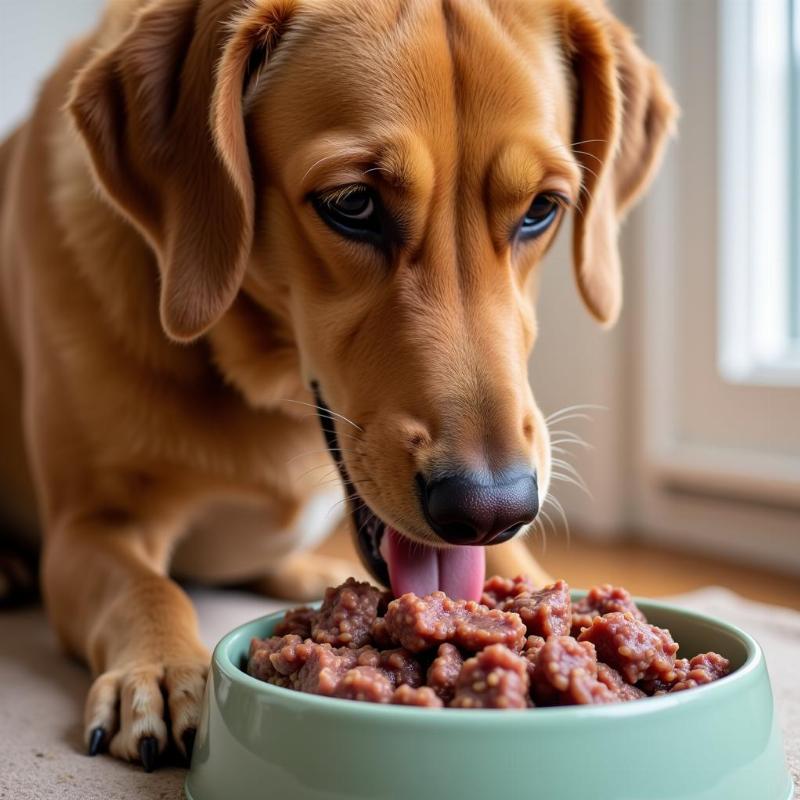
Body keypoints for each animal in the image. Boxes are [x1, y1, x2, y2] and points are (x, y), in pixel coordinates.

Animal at [0, 0, 676, 776]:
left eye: (542, 208)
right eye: (352, 203)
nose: (491, 511)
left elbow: (515, 569)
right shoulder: (90, 525)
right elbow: (146, 585)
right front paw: (164, 668)